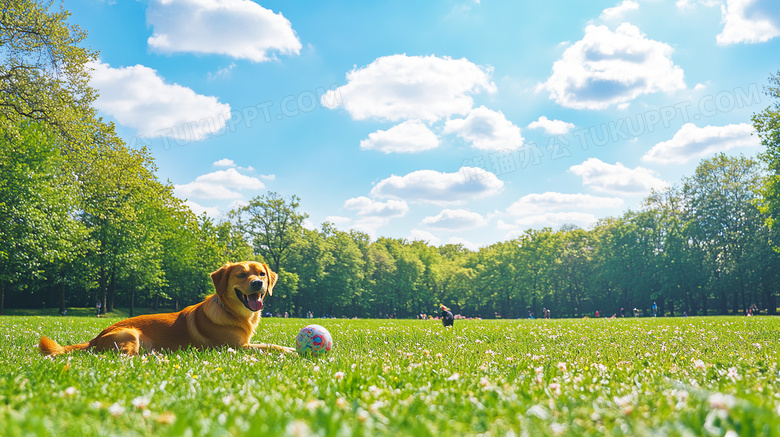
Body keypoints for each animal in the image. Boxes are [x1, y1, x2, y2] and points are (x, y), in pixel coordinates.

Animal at [37, 260, 292, 356]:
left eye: (261, 273)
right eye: (241, 274)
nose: (258, 283)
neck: (231, 312)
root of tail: (95, 338)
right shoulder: (237, 347)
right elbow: (271, 346)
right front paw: (292, 351)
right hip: (130, 334)